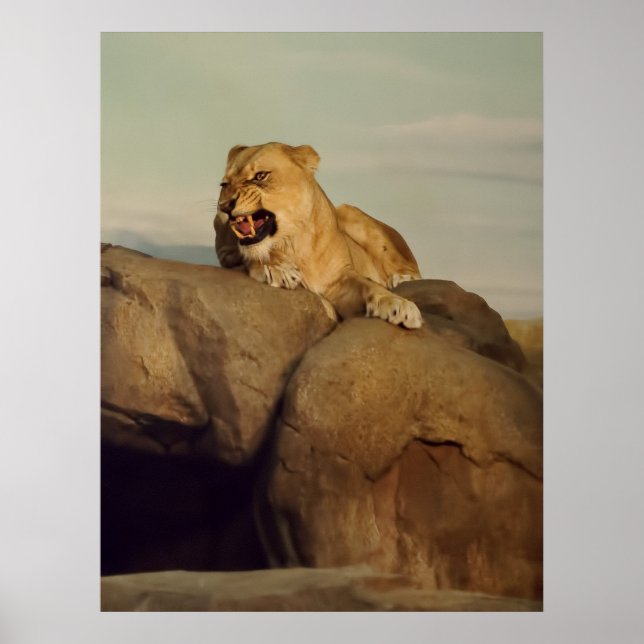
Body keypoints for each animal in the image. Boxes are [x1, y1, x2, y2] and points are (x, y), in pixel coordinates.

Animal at [214, 142, 423, 329]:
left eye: (260, 176)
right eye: (224, 184)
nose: (224, 206)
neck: (294, 242)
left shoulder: (339, 278)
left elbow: (369, 285)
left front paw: (400, 305)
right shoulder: (227, 253)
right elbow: (251, 256)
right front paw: (277, 269)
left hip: (347, 211)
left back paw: (401, 279)